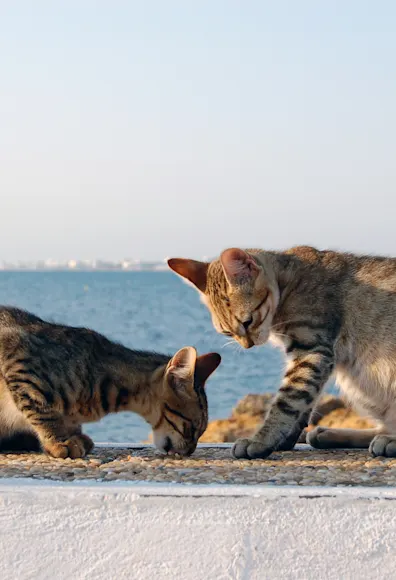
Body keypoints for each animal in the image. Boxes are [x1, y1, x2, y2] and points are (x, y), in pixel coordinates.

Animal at [0, 306, 220, 460]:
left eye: (202, 432)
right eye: (191, 428)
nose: (190, 451)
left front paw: (74, 435)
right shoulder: (19, 360)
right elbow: (42, 410)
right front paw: (59, 440)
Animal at [169, 247, 396, 460]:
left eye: (247, 322)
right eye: (227, 332)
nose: (247, 345)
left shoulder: (312, 351)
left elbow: (288, 401)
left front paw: (261, 439)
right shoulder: (310, 357)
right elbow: (303, 403)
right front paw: (284, 439)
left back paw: (387, 441)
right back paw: (328, 434)